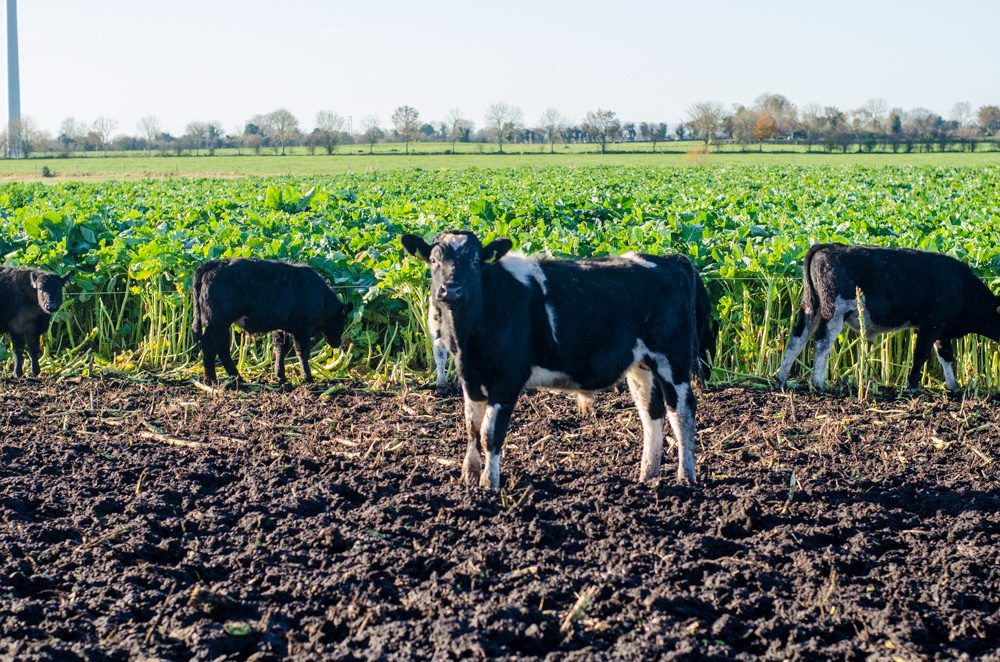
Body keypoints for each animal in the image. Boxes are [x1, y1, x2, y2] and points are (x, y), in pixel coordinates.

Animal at [191, 258, 352, 385]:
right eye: (344, 319)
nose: (338, 343)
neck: (320, 296)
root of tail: (214, 263)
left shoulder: (283, 327)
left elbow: (280, 348)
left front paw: (280, 375)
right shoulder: (303, 329)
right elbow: (302, 352)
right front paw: (308, 377)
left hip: (222, 324)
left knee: (222, 348)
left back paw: (237, 378)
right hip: (217, 322)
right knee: (210, 347)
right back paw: (211, 379)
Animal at [402, 230, 700, 489]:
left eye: (475, 262)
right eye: (433, 260)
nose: (451, 290)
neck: (470, 335)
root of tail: (670, 260)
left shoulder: (508, 378)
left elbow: (490, 434)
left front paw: (489, 483)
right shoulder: (470, 378)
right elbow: (472, 428)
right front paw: (469, 477)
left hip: (672, 359)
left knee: (682, 411)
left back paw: (686, 477)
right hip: (641, 366)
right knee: (651, 413)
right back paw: (647, 477)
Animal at [775, 244, 1000, 391]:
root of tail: (828, 247)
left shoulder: (941, 328)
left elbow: (945, 355)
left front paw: (954, 387)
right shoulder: (932, 323)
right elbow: (921, 354)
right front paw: (912, 386)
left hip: (811, 307)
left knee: (797, 338)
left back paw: (780, 378)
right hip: (833, 312)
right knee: (822, 343)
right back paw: (820, 384)